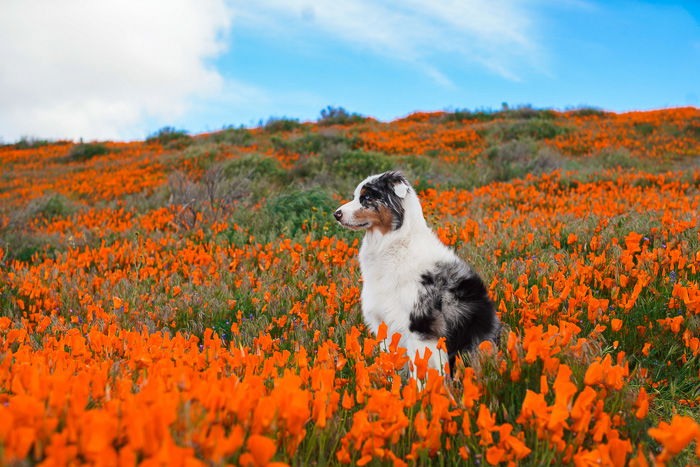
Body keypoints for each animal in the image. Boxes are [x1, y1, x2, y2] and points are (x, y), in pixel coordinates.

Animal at [332, 172, 498, 376]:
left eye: (367, 197)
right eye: (356, 196)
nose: (336, 214)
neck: (394, 244)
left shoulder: (419, 328)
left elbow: (420, 371)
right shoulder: (385, 325)